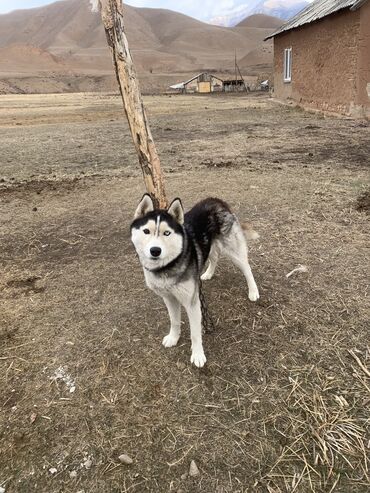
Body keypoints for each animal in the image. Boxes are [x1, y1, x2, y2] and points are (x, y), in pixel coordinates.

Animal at [130, 194, 260, 368]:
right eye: (146, 231)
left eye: (166, 233)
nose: (155, 251)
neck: (167, 267)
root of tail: (215, 200)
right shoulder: (169, 298)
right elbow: (174, 321)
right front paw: (173, 338)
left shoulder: (192, 302)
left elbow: (195, 333)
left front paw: (198, 355)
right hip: (209, 247)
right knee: (214, 257)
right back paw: (207, 274)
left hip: (234, 252)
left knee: (247, 268)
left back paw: (253, 291)